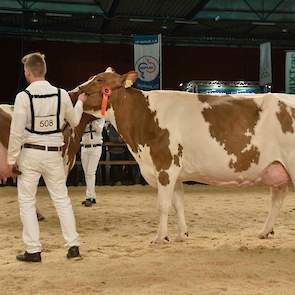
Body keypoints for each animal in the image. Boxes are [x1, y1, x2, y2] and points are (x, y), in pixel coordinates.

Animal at [71, 69, 295, 243]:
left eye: (100, 80)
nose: (75, 91)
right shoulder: (174, 173)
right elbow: (178, 204)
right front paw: (181, 235)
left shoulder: (164, 167)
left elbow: (162, 206)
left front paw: (160, 238)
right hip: (277, 169)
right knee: (277, 199)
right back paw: (264, 232)